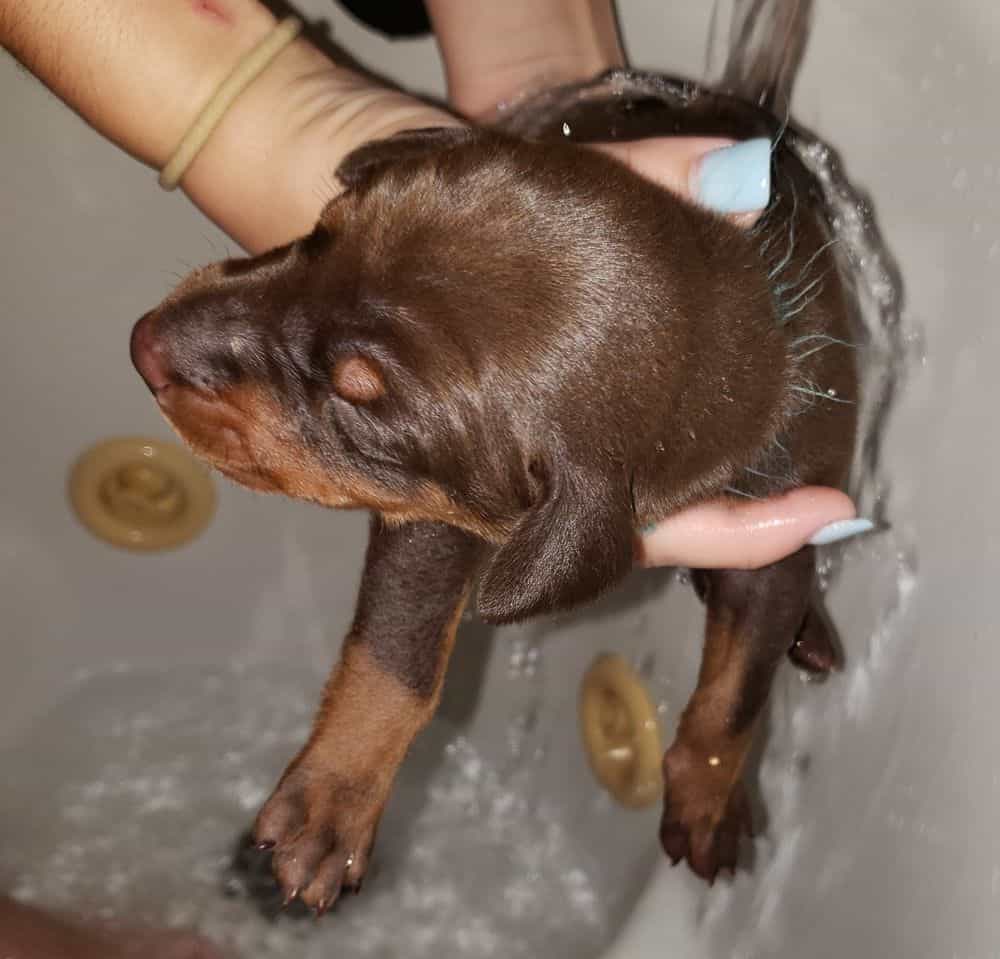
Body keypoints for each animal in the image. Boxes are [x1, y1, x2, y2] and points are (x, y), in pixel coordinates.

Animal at [129, 71, 856, 904]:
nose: (146, 342)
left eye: (354, 396)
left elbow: (739, 688)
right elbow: (397, 652)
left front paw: (709, 796)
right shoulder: (438, 512)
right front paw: (332, 799)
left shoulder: (787, 516)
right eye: (319, 233)